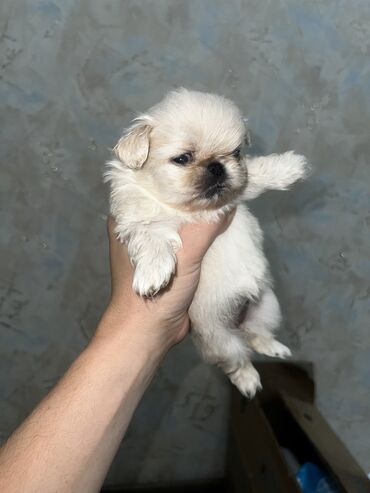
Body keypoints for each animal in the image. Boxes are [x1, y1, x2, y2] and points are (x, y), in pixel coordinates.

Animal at [104, 88, 310, 396]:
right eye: (182, 159)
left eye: (236, 153)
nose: (217, 166)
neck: (190, 211)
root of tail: (236, 322)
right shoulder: (137, 220)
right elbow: (151, 238)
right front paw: (153, 274)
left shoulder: (236, 193)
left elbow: (255, 174)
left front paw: (289, 167)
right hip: (221, 341)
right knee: (238, 360)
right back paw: (248, 380)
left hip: (268, 306)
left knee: (256, 334)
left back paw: (273, 348)